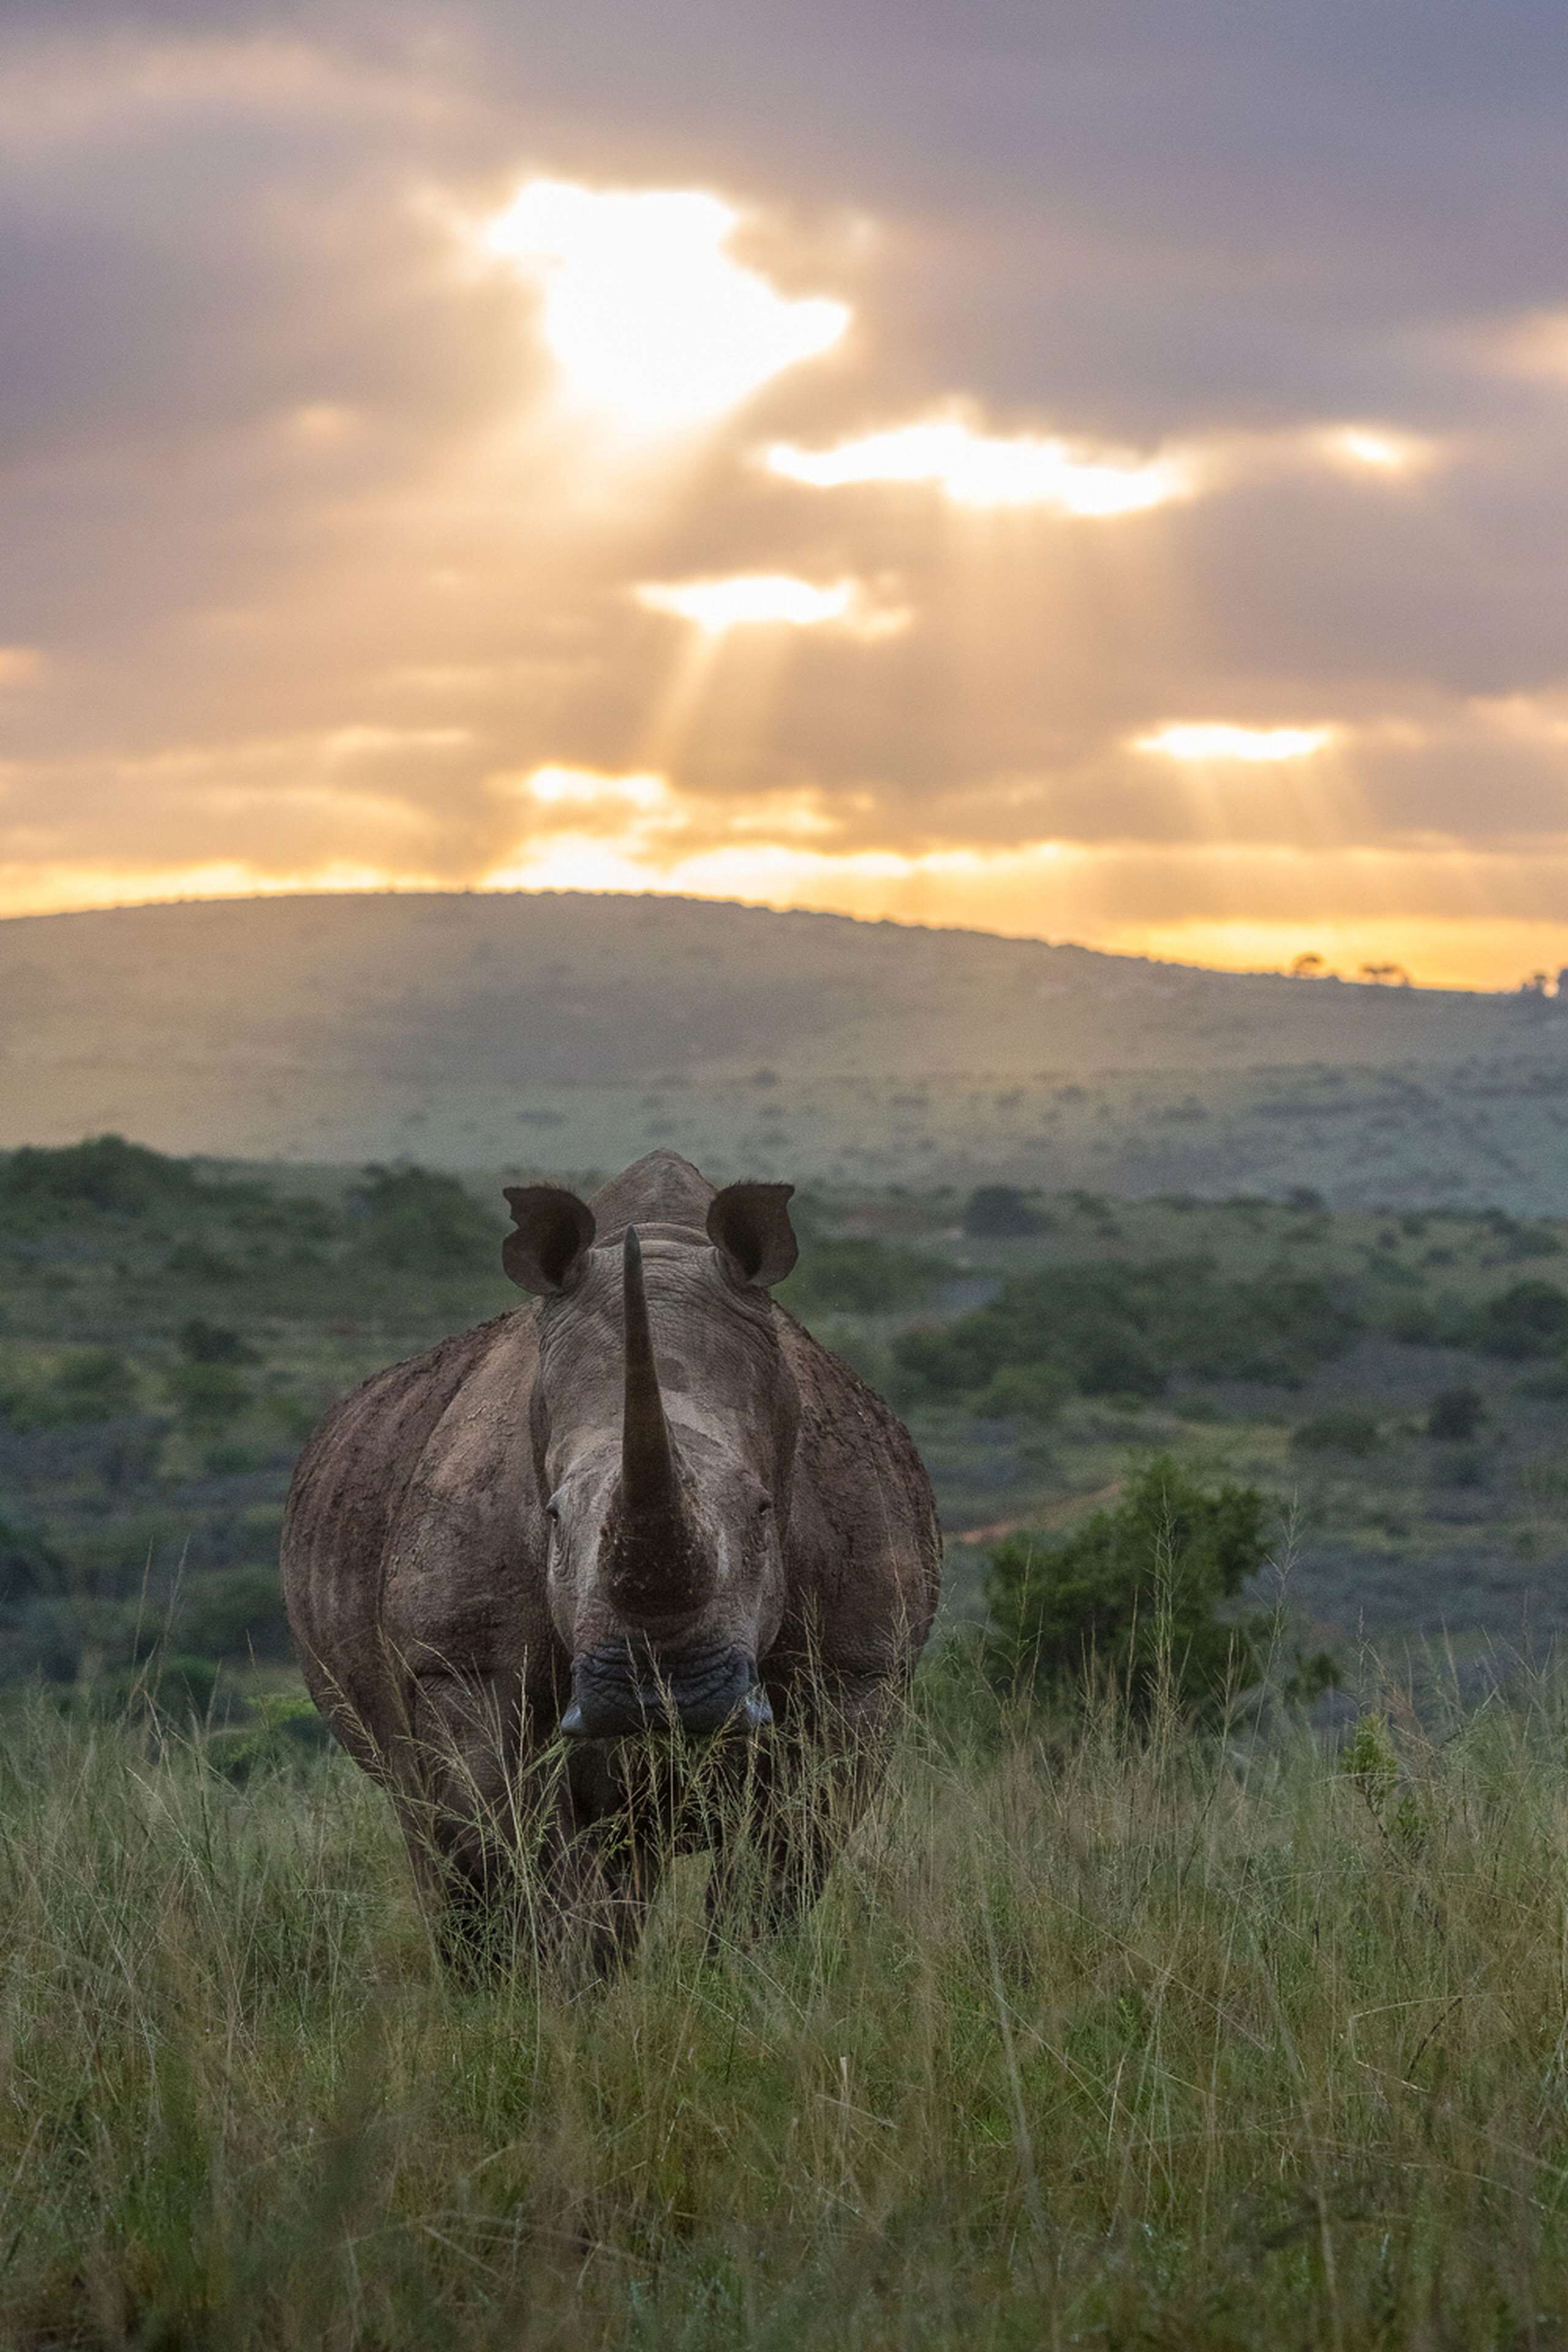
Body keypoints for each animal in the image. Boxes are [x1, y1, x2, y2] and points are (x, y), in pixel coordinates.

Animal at [281, 1151, 940, 1966]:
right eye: (554, 1516)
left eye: (763, 1509)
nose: (658, 1697)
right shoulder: (457, 1663)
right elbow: (513, 1855)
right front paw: (543, 1988)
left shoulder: (860, 1668)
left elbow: (781, 1862)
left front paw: (740, 1983)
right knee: (440, 1833)